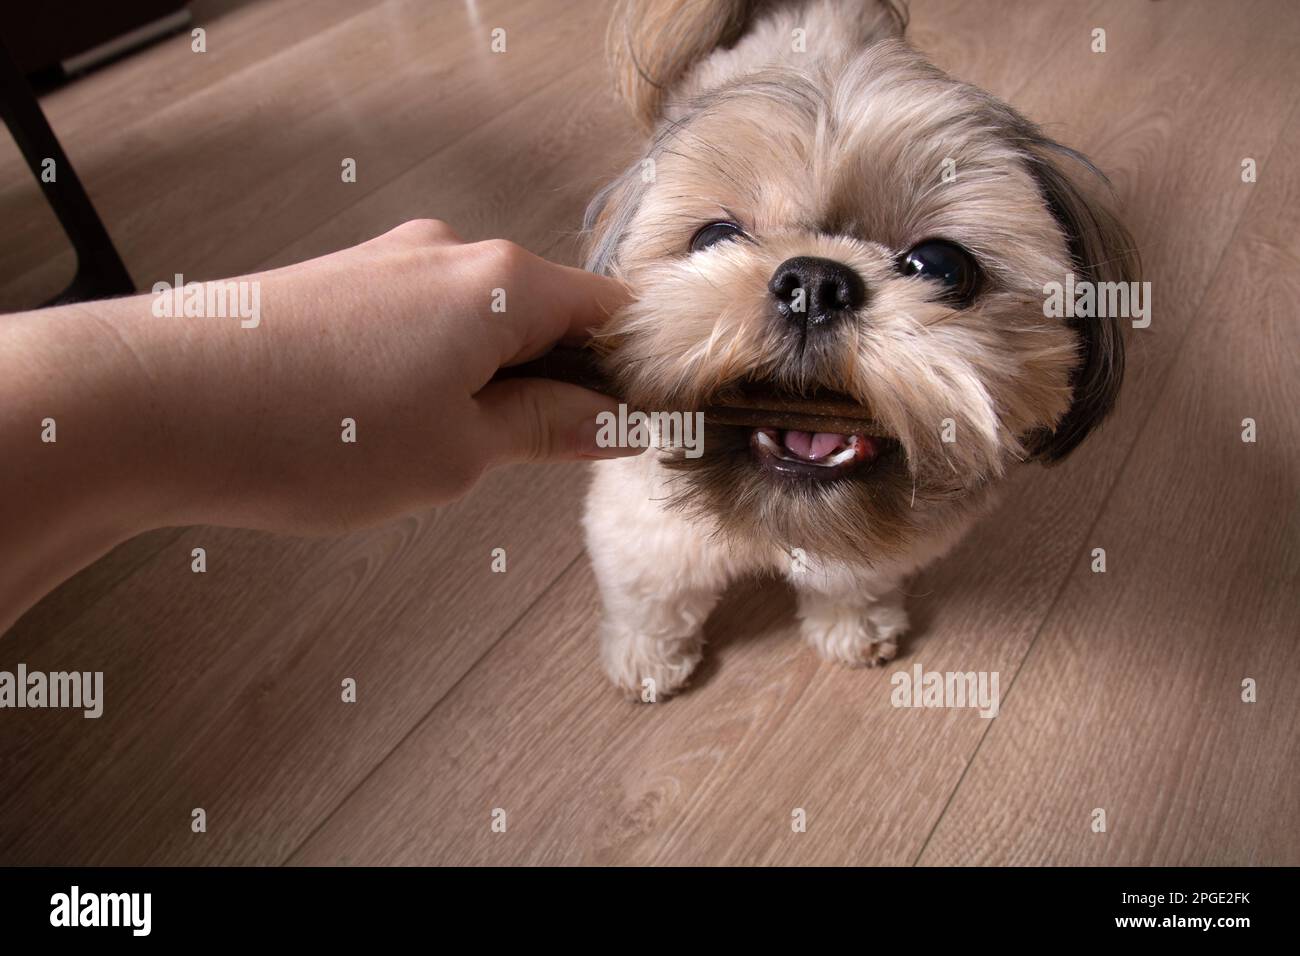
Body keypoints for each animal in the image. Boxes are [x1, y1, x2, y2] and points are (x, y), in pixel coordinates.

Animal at [579, 1, 1138, 702]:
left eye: (942, 267)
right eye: (714, 237)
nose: (815, 283)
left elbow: (852, 580)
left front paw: (855, 626)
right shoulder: (642, 529)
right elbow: (652, 596)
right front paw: (647, 660)